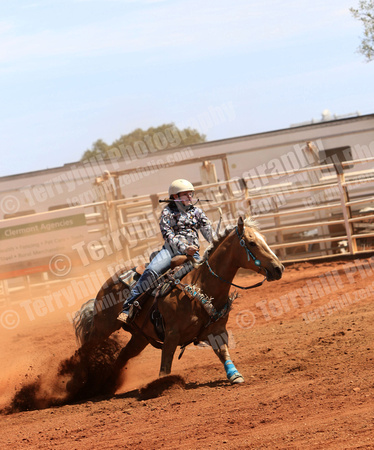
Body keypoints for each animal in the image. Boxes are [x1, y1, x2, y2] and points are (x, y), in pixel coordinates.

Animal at [73, 216, 284, 388]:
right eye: (252, 243)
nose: (279, 268)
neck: (201, 285)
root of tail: (109, 282)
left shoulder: (216, 330)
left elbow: (223, 353)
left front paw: (235, 375)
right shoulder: (172, 334)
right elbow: (165, 365)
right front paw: (164, 386)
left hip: (140, 338)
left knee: (123, 355)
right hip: (104, 326)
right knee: (86, 347)